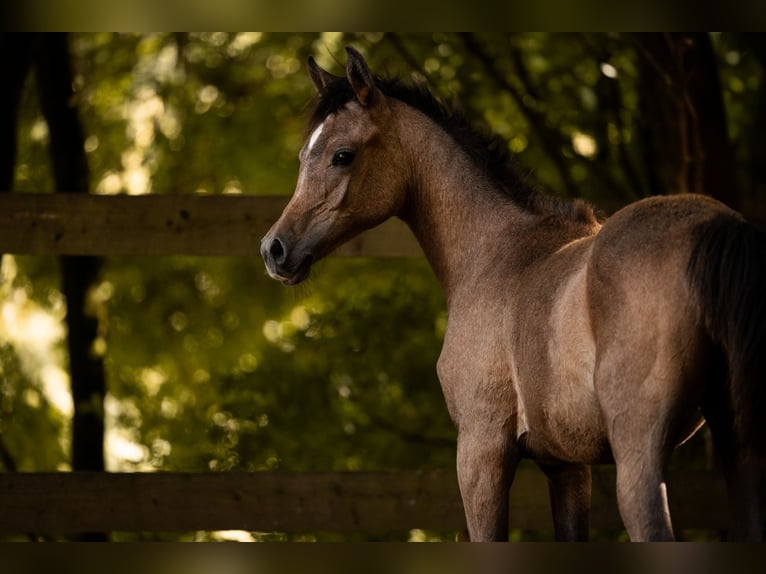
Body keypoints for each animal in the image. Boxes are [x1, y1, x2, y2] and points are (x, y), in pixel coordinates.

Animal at [260, 46, 766, 541]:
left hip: (639, 461)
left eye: (342, 155)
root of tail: (720, 231)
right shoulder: (566, 466)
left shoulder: (481, 453)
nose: (274, 249)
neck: (496, 253)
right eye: (304, 155)